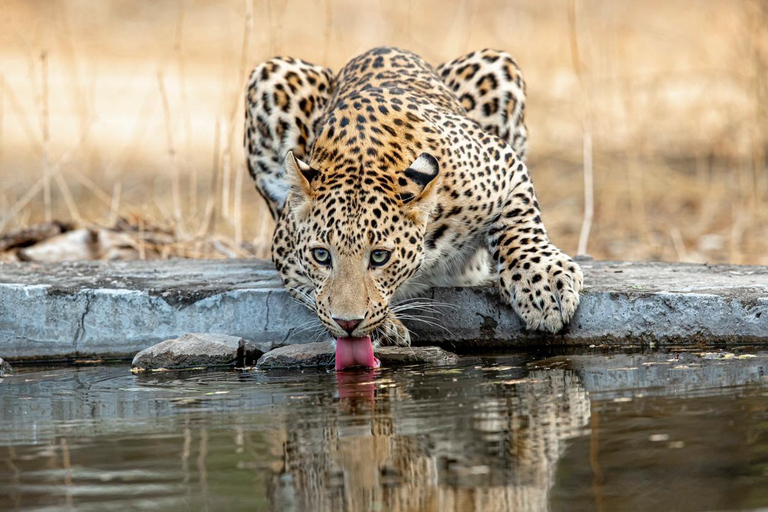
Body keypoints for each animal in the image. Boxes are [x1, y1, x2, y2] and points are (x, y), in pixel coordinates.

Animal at [246, 46, 584, 362]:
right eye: (321, 255)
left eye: (379, 257)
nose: (347, 324)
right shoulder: (285, 248)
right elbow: (312, 292)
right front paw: (384, 328)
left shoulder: (503, 162)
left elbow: (519, 222)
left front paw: (544, 284)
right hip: (270, 74)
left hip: (497, 65)